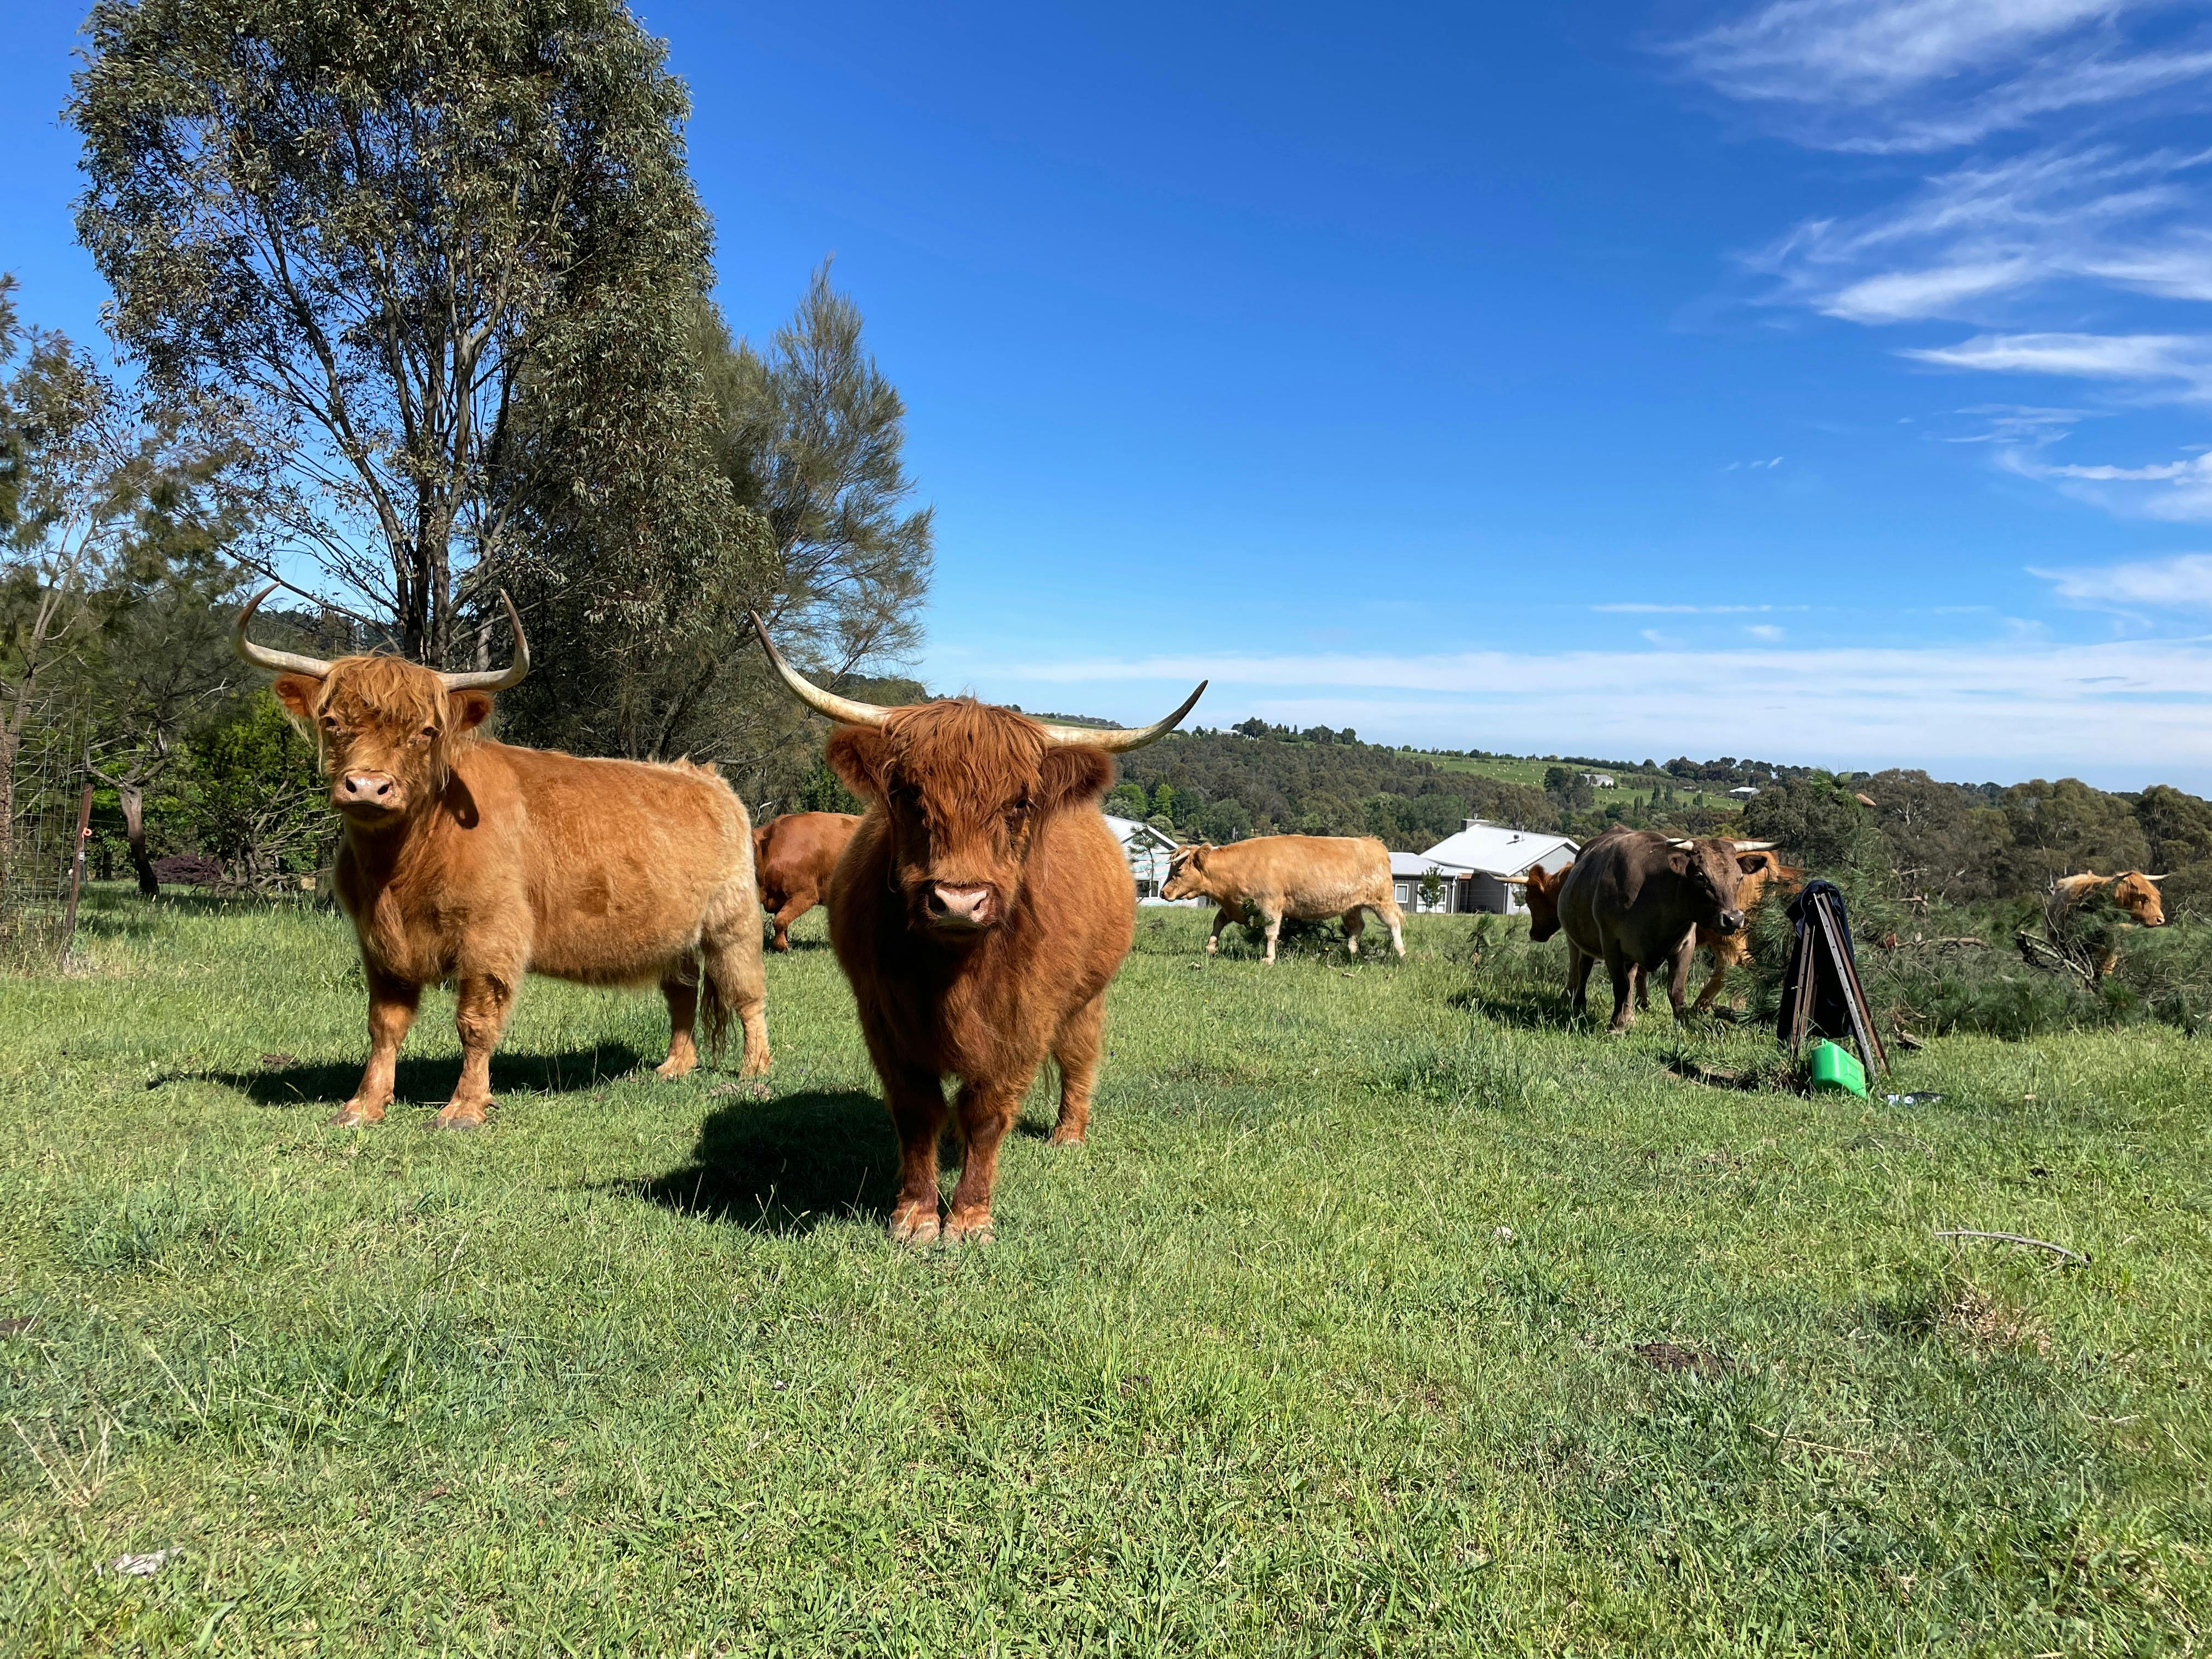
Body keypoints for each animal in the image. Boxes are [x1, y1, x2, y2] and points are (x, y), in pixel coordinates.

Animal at [234, 584, 770, 1129]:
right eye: (332, 721)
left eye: (426, 731)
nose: (366, 786)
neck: (400, 868)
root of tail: (706, 777)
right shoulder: (379, 944)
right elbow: (384, 1025)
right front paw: (365, 1104)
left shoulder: (490, 935)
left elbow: (475, 1023)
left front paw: (464, 1108)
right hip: (674, 936)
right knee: (682, 993)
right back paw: (674, 1067)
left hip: (734, 922)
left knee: (747, 993)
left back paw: (754, 1070)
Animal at [1159, 836, 1405, 964]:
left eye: (1179, 871)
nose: (1163, 893)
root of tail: (1373, 842)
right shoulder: (1235, 905)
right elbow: (1218, 922)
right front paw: (1211, 948)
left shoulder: (1270, 906)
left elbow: (1270, 933)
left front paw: (1269, 958)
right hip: (1352, 906)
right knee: (1357, 927)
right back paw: (1351, 952)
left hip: (1381, 899)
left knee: (1394, 923)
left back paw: (1401, 953)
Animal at [1554, 830, 1777, 1032]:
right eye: (1700, 877)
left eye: (1739, 877)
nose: (1733, 919)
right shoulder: (1611, 942)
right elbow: (1620, 986)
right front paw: (1615, 1026)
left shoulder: (1686, 944)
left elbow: (1675, 989)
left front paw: (1684, 1027)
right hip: (1581, 939)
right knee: (1583, 967)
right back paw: (1579, 1006)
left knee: (1631, 975)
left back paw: (1630, 1017)